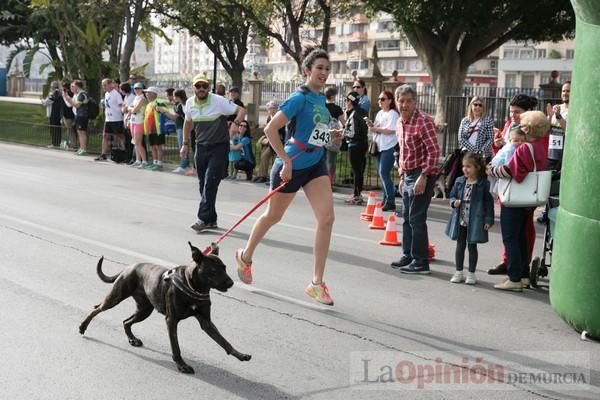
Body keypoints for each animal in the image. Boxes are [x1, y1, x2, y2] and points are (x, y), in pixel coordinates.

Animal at [79, 242, 251, 374]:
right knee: (96, 308)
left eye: (224, 267)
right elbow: (176, 346)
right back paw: (82, 327)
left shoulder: (206, 322)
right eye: (213, 270)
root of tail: (129, 267)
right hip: (116, 297)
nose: (230, 283)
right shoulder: (171, 320)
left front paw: (240, 354)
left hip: (144, 310)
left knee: (126, 321)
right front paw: (182, 365)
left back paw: (132, 339)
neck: (193, 286)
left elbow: (224, 342)